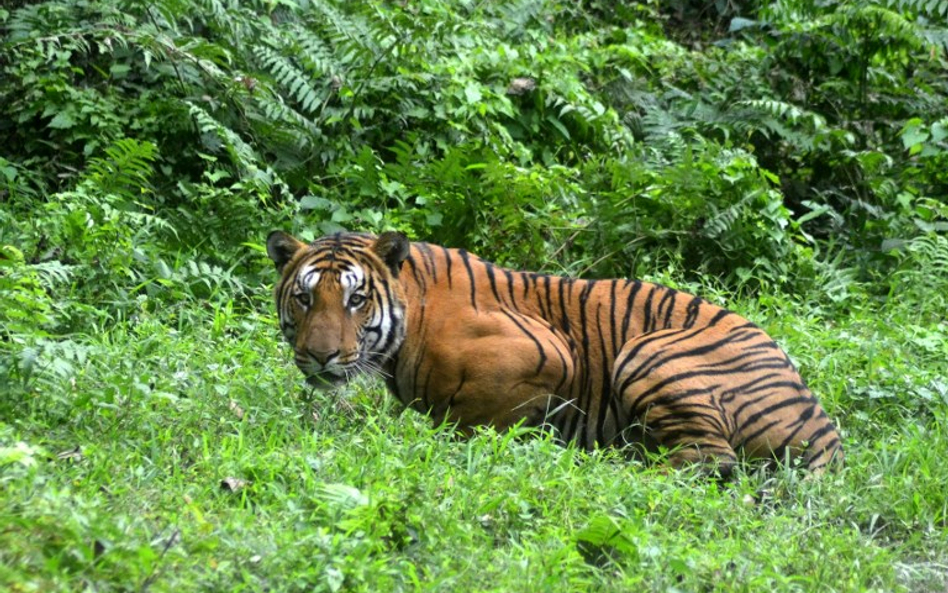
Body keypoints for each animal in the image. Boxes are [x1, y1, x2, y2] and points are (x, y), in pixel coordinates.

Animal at [266, 228, 844, 476]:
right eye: (305, 297)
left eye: (356, 299)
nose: (320, 356)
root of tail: (823, 426)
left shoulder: (547, 352)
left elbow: (475, 419)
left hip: (648, 352)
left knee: (709, 462)